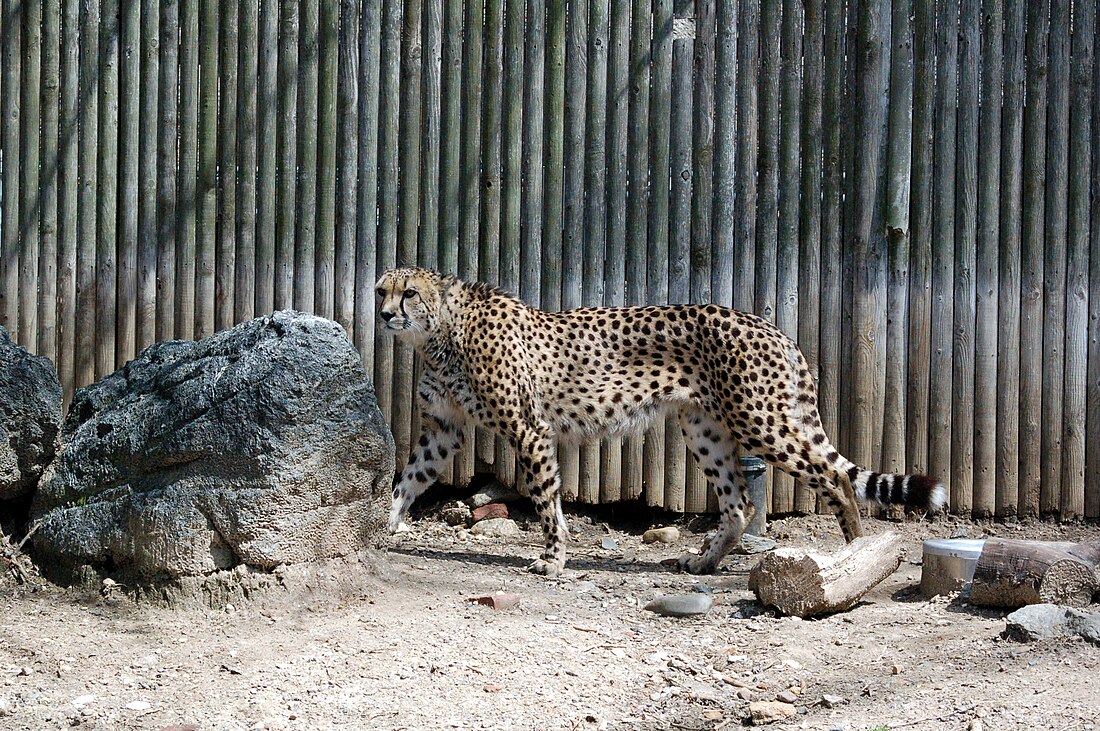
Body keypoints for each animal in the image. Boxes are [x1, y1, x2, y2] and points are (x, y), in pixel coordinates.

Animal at [378, 267, 946, 576]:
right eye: (382, 290)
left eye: (409, 293)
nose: (383, 315)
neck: (440, 333)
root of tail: (769, 324)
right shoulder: (444, 430)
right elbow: (407, 480)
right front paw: (378, 525)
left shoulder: (529, 429)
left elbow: (544, 501)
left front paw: (554, 558)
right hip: (705, 429)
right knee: (739, 503)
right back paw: (704, 562)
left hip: (760, 420)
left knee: (832, 477)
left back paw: (853, 554)